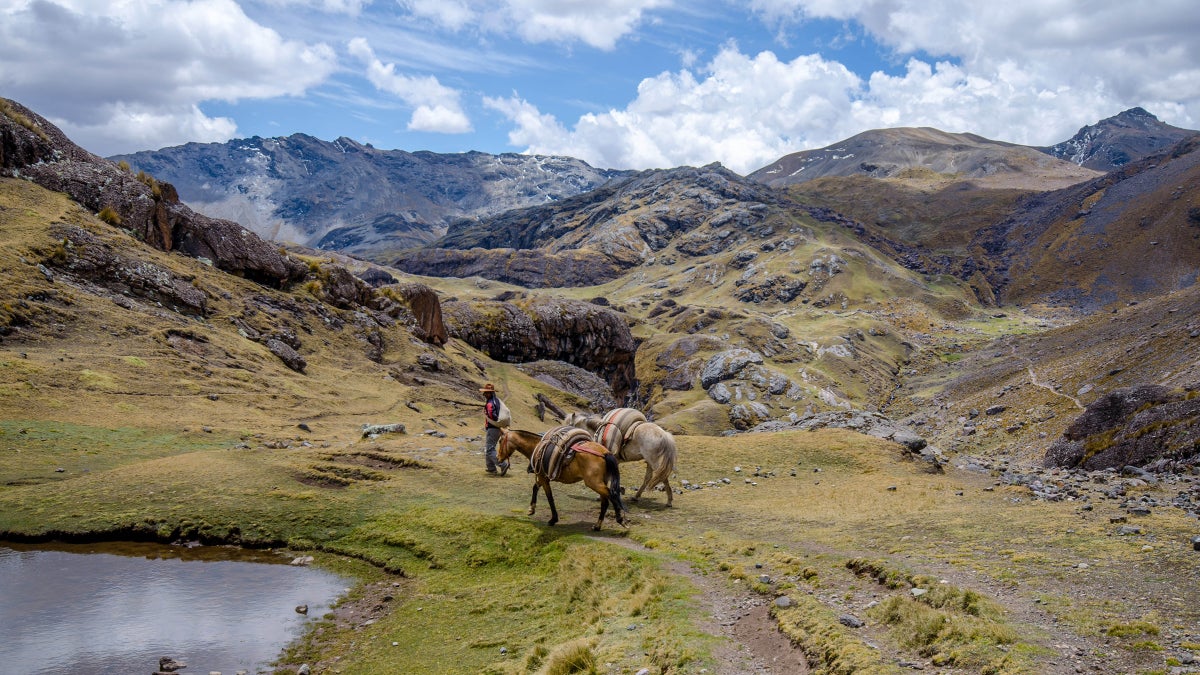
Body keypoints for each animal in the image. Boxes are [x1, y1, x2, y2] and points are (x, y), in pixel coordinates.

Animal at [496, 425, 628, 530]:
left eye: (500, 440)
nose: (498, 458)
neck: (537, 447)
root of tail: (605, 453)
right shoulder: (542, 476)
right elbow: (535, 487)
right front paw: (531, 509)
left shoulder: (544, 478)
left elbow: (549, 497)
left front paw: (553, 519)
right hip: (600, 482)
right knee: (605, 501)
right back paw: (597, 526)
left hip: (593, 483)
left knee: (611, 494)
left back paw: (621, 519)